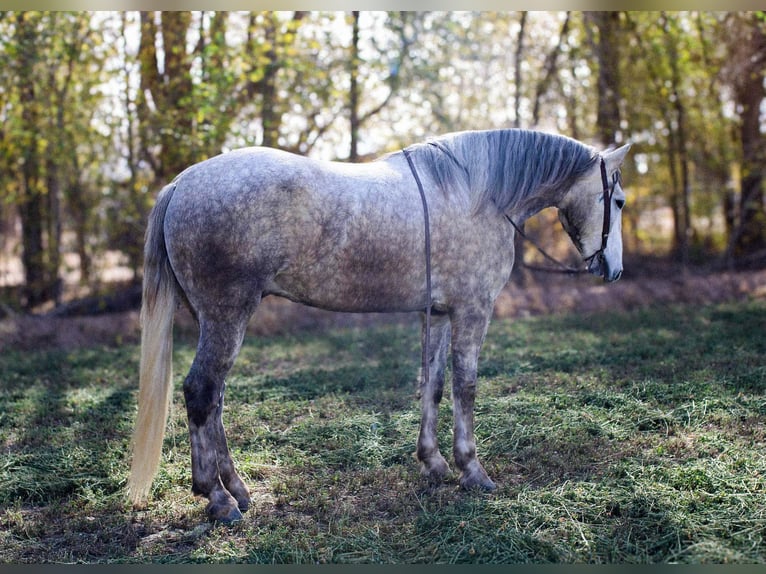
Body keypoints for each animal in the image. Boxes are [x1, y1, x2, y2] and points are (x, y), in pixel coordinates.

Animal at [127, 128, 632, 524]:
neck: (478, 195)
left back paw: (236, 490)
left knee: (215, 401)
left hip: (216, 321)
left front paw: (433, 464)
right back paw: (217, 499)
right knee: (201, 393)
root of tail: (182, 184)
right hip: (226, 317)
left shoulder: (439, 313)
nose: (614, 270)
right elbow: (465, 387)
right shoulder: (472, 310)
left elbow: (433, 383)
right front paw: (472, 470)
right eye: (620, 201)